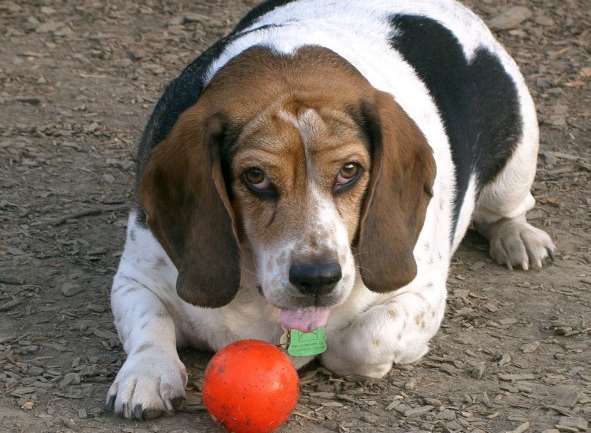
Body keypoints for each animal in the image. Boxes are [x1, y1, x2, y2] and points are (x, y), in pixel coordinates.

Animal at [106, 0, 556, 418]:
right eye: (255, 177)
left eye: (349, 171)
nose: (317, 278)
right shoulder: (136, 278)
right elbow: (151, 324)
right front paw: (146, 375)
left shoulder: (422, 294)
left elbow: (360, 339)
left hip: (516, 161)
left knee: (508, 209)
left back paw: (519, 238)